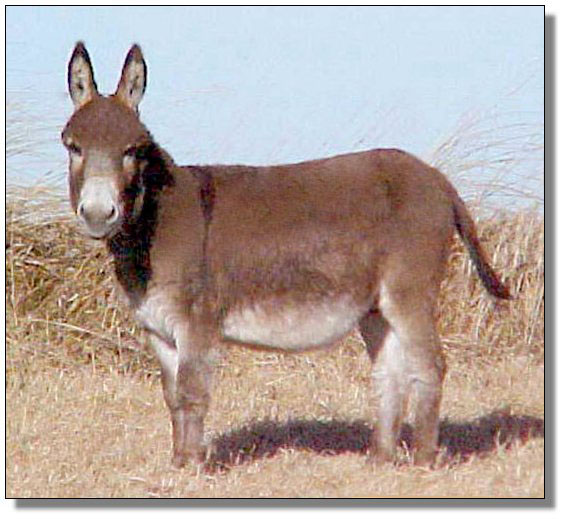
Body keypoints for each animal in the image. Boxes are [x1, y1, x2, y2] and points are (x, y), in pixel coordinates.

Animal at [62, 42, 510, 469]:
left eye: (133, 150)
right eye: (73, 147)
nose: (98, 214)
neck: (156, 222)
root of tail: (436, 179)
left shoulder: (198, 324)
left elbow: (193, 393)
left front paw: (193, 468)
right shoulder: (158, 330)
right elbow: (172, 396)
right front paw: (177, 463)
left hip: (409, 293)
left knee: (429, 366)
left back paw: (423, 460)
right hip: (375, 307)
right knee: (389, 372)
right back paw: (381, 458)